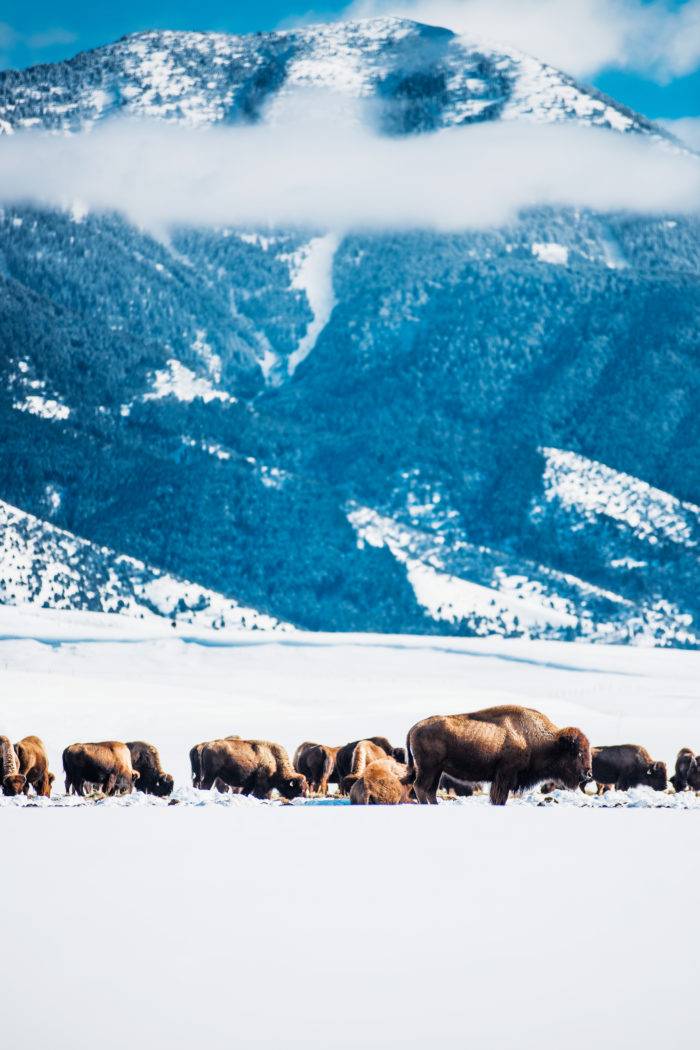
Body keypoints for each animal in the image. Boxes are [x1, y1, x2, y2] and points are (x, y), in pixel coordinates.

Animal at [405, 709, 591, 806]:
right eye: (578, 752)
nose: (588, 774)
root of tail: (415, 727)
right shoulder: (504, 776)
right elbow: (499, 798)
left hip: (437, 770)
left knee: (430, 790)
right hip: (428, 768)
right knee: (421, 787)